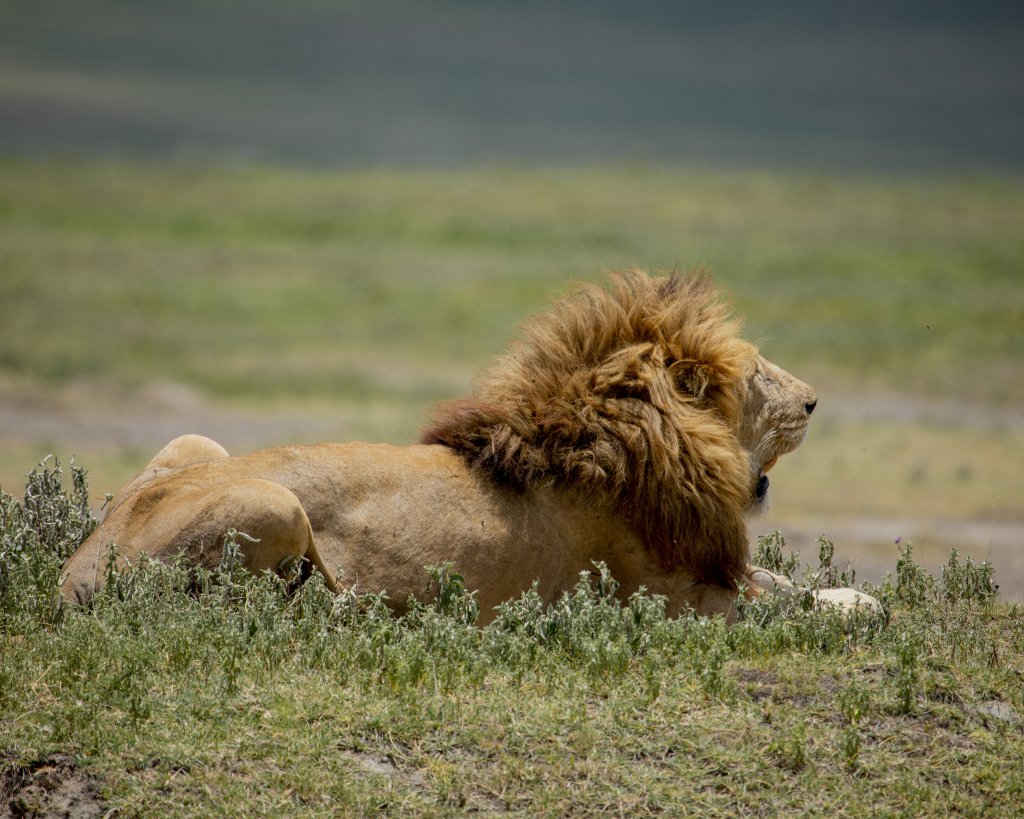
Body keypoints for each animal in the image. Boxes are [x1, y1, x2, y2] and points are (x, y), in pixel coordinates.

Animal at [59, 268, 876, 622]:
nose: (813, 400)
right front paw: (857, 605)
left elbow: (793, 585)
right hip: (276, 502)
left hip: (193, 438)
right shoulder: (675, 598)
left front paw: (855, 592)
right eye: (758, 374)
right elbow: (796, 604)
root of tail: (72, 575)